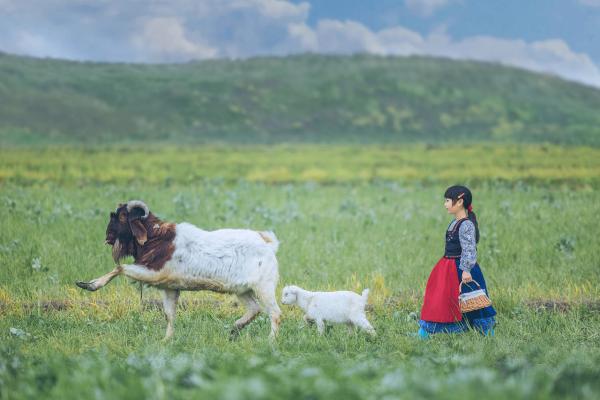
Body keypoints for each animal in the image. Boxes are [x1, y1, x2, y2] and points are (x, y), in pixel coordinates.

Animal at [75, 202, 282, 340]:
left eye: (122, 216)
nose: (108, 236)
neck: (156, 238)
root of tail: (268, 243)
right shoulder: (169, 288)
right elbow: (169, 314)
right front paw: (166, 340)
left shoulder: (154, 273)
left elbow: (120, 267)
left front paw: (89, 285)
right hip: (242, 289)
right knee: (254, 309)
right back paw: (233, 330)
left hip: (263, 287)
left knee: (275, 313)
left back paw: (270, 342)